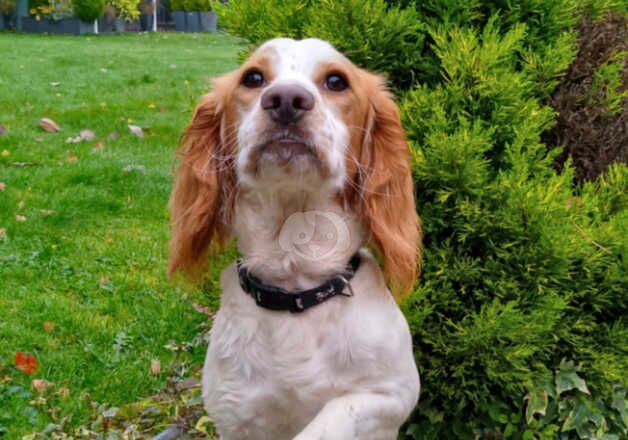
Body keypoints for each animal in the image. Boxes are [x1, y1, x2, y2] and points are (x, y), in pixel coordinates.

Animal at [169, 38, 420, 440]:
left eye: (336, 81)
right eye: (253, 78)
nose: (286, 99)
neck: (295, 283)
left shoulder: (392, 394)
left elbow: (332, 416)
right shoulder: (234, 412)